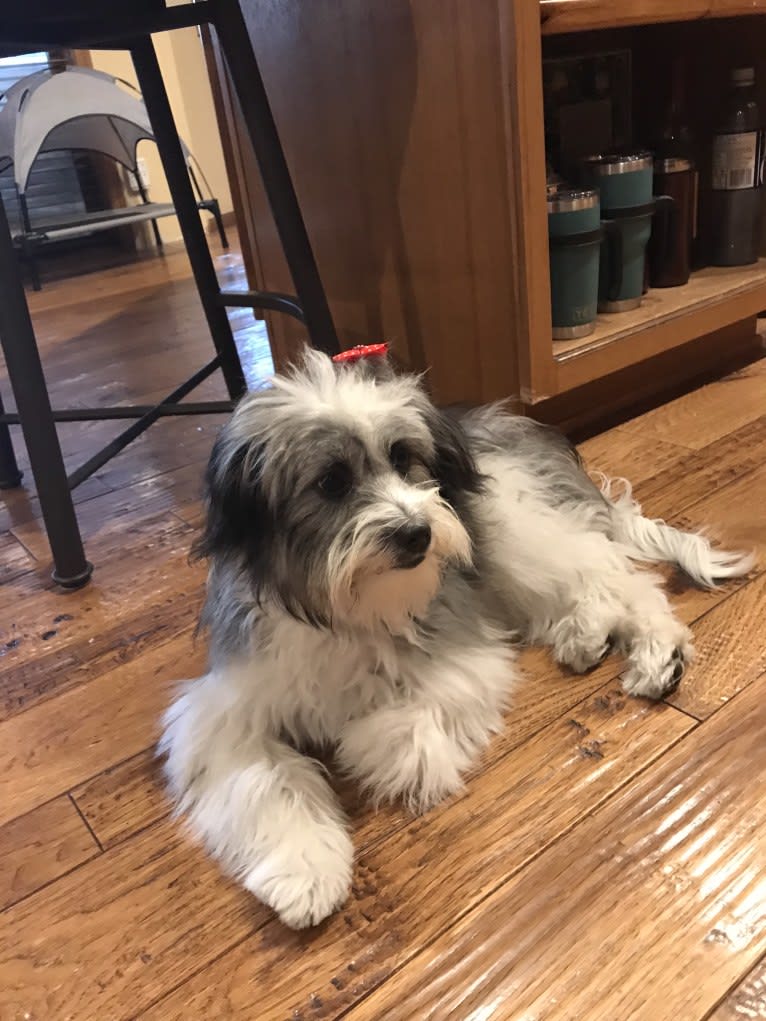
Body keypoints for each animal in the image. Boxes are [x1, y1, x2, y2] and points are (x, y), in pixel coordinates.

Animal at [159, 347, 751, 931]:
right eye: (331, 482)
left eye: (403, 458)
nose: (416, 534)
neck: (344, 606)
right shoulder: (228, 708)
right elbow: (265, 779)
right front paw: (305, 876)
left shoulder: (462, 649)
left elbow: (403, 726)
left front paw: (358, 741)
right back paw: (586, 635)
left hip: (515, 527)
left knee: (617, 575)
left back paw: (654, 652)